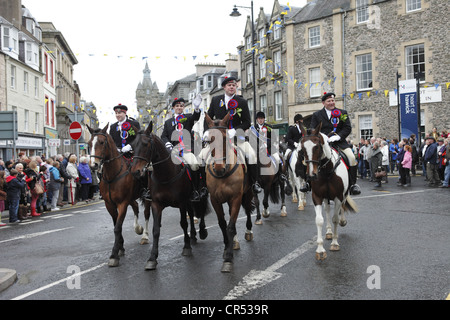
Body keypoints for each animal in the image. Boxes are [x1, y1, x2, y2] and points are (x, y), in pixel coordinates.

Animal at [87, 125, 150, 268]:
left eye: (102, 142)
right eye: (89, 144)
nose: (94, 165)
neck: (113, 175)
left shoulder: (122, 203)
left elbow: (117, 227)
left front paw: (114, 255)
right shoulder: (109, 204)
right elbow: (116, 225)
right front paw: (120, 247)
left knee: (147, 214)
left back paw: (144, 236)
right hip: (131, 198)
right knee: (136, 206)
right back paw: (138, 228)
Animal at [128, 122, 209, 270]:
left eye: (146, 144)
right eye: (133, 146)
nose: (135, 172)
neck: (165, 174)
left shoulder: (181, 203)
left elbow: (183, 223)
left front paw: (186, 247)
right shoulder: (156, 204)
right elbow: (155, 230)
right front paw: (152, 258)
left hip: (198, 194)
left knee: (201, 208)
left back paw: (202, 232)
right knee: (192, 213)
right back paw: (193, 236)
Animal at [205, 112, 255, 272]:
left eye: (225, 138)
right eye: (209, 140)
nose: (219, 168)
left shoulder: (236, 198)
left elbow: (231, 226)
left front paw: (228, 257)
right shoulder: (215, 200)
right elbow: (222, 224)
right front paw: (227, 246)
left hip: (248, 193)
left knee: (248, 209)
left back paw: (248, 232)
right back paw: (234, 242)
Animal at [298, 122, 358, 260]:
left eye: (317, 147)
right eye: (302, 149)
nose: (311, 176)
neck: (326, 171)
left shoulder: (338, 196)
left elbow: (335, 218)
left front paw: (335, 243)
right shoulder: (317, 197)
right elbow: (319, 220)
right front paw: (320, 249)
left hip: (343, 194)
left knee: (342, 207)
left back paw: (342, 222)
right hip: (326, 197)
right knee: (327, 211)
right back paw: (329, 232)